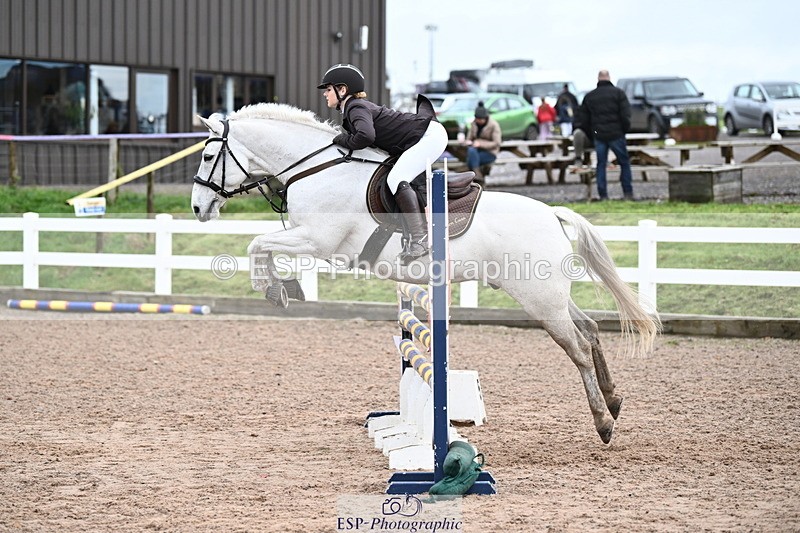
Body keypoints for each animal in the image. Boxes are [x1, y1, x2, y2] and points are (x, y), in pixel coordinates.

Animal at [190, 102, 660, 444]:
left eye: (210, 155)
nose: (198, 208)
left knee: (577, 346)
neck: (316, 169)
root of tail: (553, 214)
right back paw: (615, 401)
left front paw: (272, 288)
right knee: (591, 330)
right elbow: (260, 245)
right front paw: (280, 286)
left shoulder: (319, 241)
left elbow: (257, 244)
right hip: (550, 296)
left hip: (539, 298)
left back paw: (603, 423)